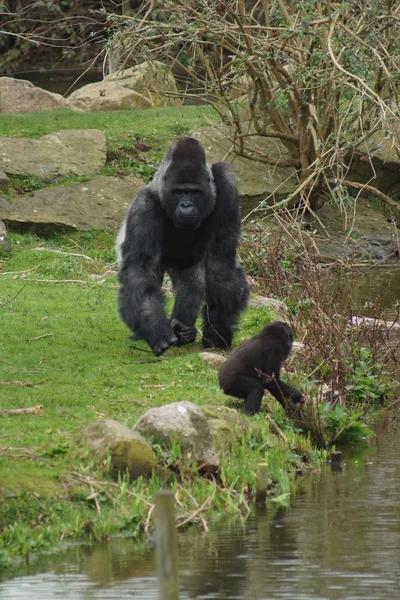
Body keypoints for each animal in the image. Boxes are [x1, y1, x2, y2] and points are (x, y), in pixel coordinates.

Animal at [114, 136, 248, 356]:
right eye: (178, 192)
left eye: (194, 192)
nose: (186, 205)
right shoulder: (143, 207)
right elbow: (139, 271)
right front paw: (156, 330)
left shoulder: (225, 189)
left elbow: (221, 265)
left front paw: (217, 333)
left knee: (192, 282)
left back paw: (184, 330)